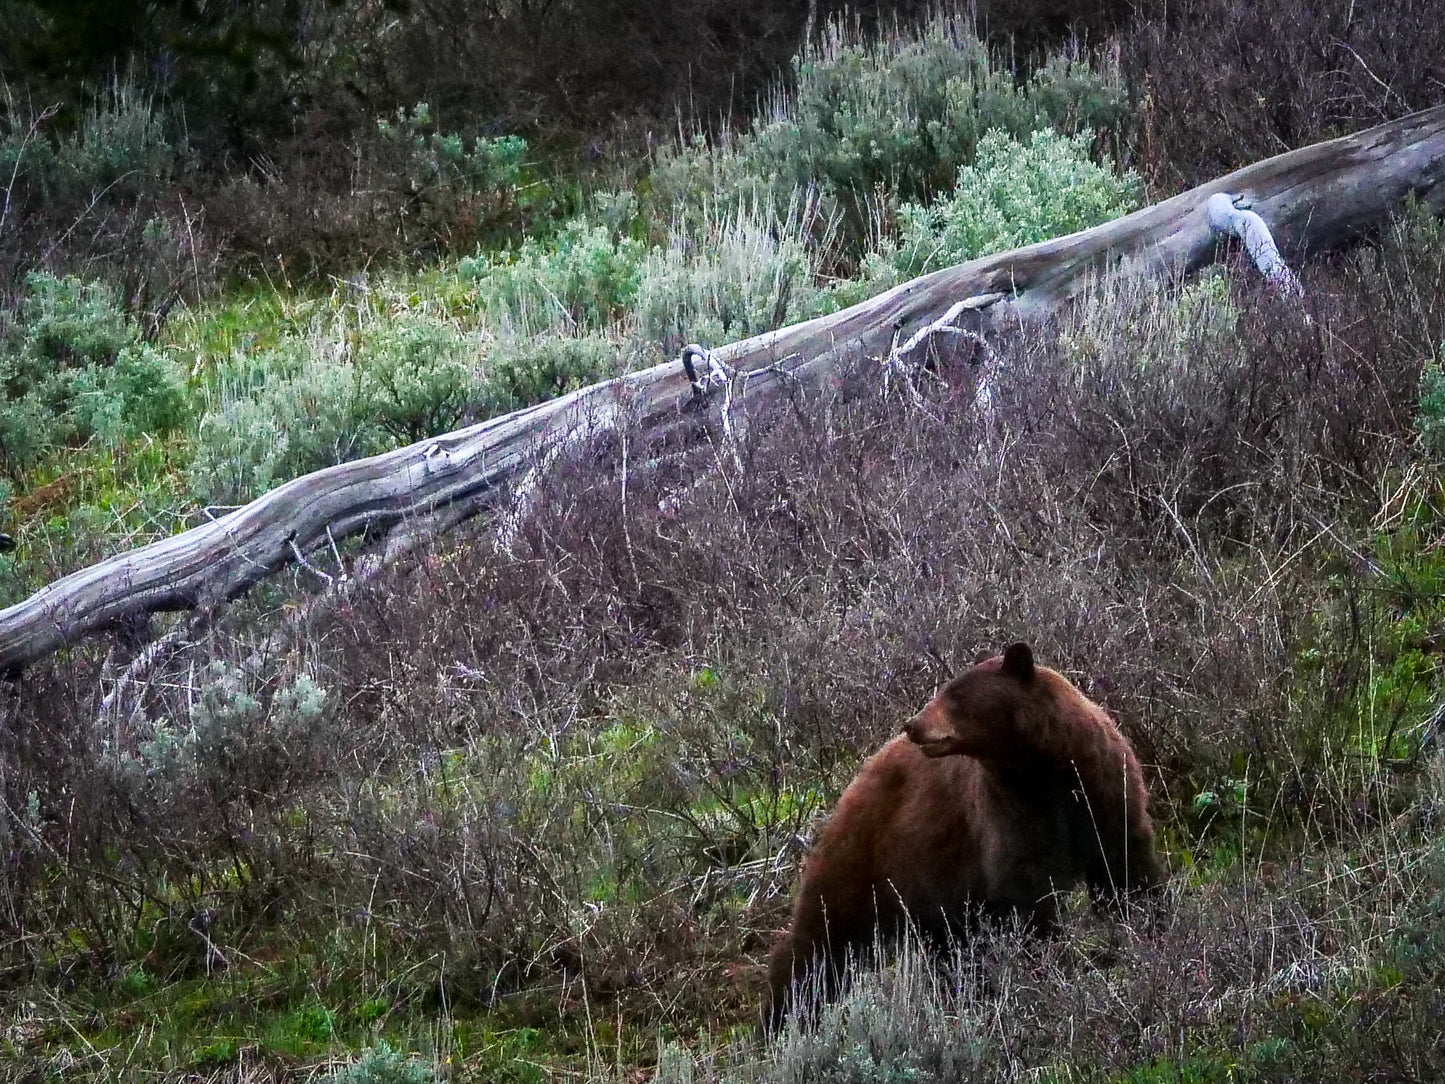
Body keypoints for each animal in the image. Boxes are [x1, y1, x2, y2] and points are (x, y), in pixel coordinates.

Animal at [764, 642, 1160, 1032]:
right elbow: (1027, 893)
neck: (1045, 770)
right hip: (867, 858)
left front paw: (1144, 928)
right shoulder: (1009, 811)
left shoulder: (1104, 791)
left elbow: (1126, 868)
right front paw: (1042, 964)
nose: (913, 725)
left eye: (954, 695)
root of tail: (856, 780)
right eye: (944, 689)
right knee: (824, 937)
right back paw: (783, 1016)